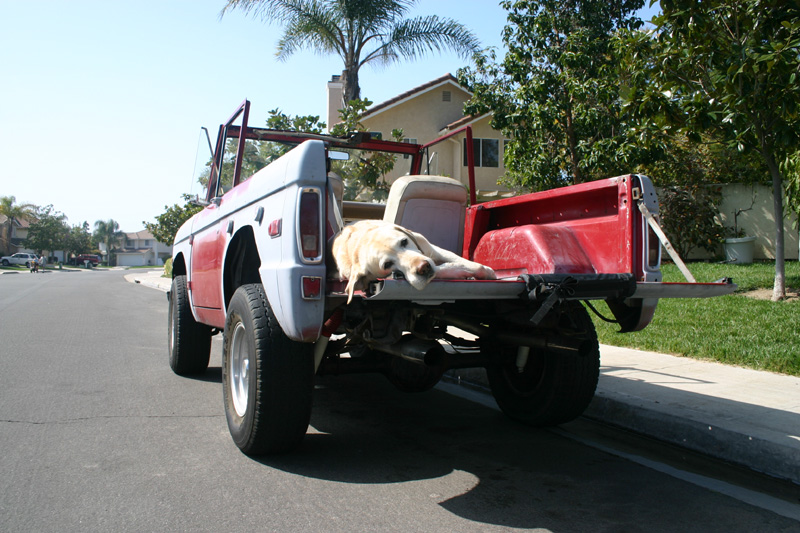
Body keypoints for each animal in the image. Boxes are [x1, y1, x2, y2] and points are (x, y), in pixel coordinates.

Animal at [330, 219, 494, 302]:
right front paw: (464, 271)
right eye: (387, 264)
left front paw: (485, 270)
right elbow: (446, 268)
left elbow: (458, 259)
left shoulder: (431, 248)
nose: (424, 267)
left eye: (404, 242)